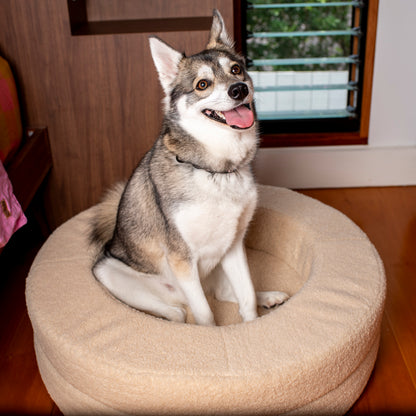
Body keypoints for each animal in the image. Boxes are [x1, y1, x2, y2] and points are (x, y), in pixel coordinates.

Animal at [90, 9, 288, 324]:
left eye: (236, 70)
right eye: (202, 84)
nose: (239, 89)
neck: (214, 171)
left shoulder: (234, 247)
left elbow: (245, 296)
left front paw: (252, 325)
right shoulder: (182, 259)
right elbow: (205, 315)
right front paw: (210, 332)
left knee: (226, 293)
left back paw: (267, 297)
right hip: (109, 270)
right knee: (178, 311)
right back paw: (172, 316)